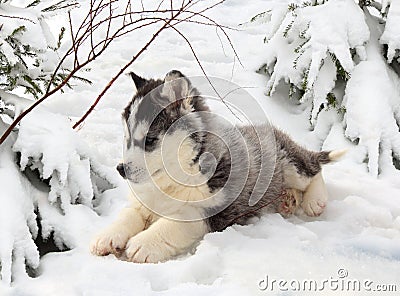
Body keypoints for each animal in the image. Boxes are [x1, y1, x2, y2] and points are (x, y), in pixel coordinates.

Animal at [90, 70, 344, 262]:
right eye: (126, 139)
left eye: (150, 140)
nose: (120, 169)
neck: (174, 179)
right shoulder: (144, 202)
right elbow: (128, 214)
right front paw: (108, 236)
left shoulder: (210, 210)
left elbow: (173, 223)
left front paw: (144, 243)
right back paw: (288, 200)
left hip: (291, 164)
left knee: (314, 170)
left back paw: (313, 201)